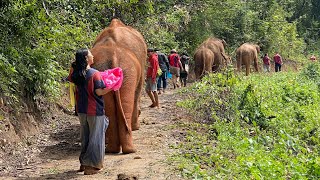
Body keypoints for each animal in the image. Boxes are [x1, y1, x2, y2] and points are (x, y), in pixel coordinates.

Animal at [89, 18, 146, 154]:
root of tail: (113, 55)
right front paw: (136, 127)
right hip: (128, 70)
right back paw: (129, 149)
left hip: (105, 70)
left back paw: (114, 149)